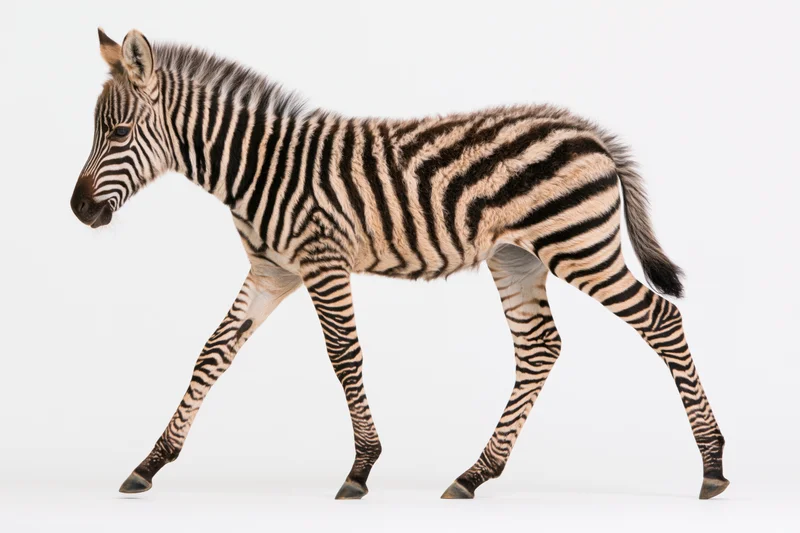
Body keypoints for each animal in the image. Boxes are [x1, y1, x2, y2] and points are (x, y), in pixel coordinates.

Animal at [71, 28, 728, 501]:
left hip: (578, 245)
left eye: (119, 133)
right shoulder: (272, 271)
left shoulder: (321, 261)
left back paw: (713, 465)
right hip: (517, 257)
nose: (78, 210)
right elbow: (212, 353)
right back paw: (475, 473)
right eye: (100, 132)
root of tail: (590, 132)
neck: (258, 168)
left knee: (661, 320)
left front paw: (361, 469)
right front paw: (151, 463)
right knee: (540, 347)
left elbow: (344, 357)